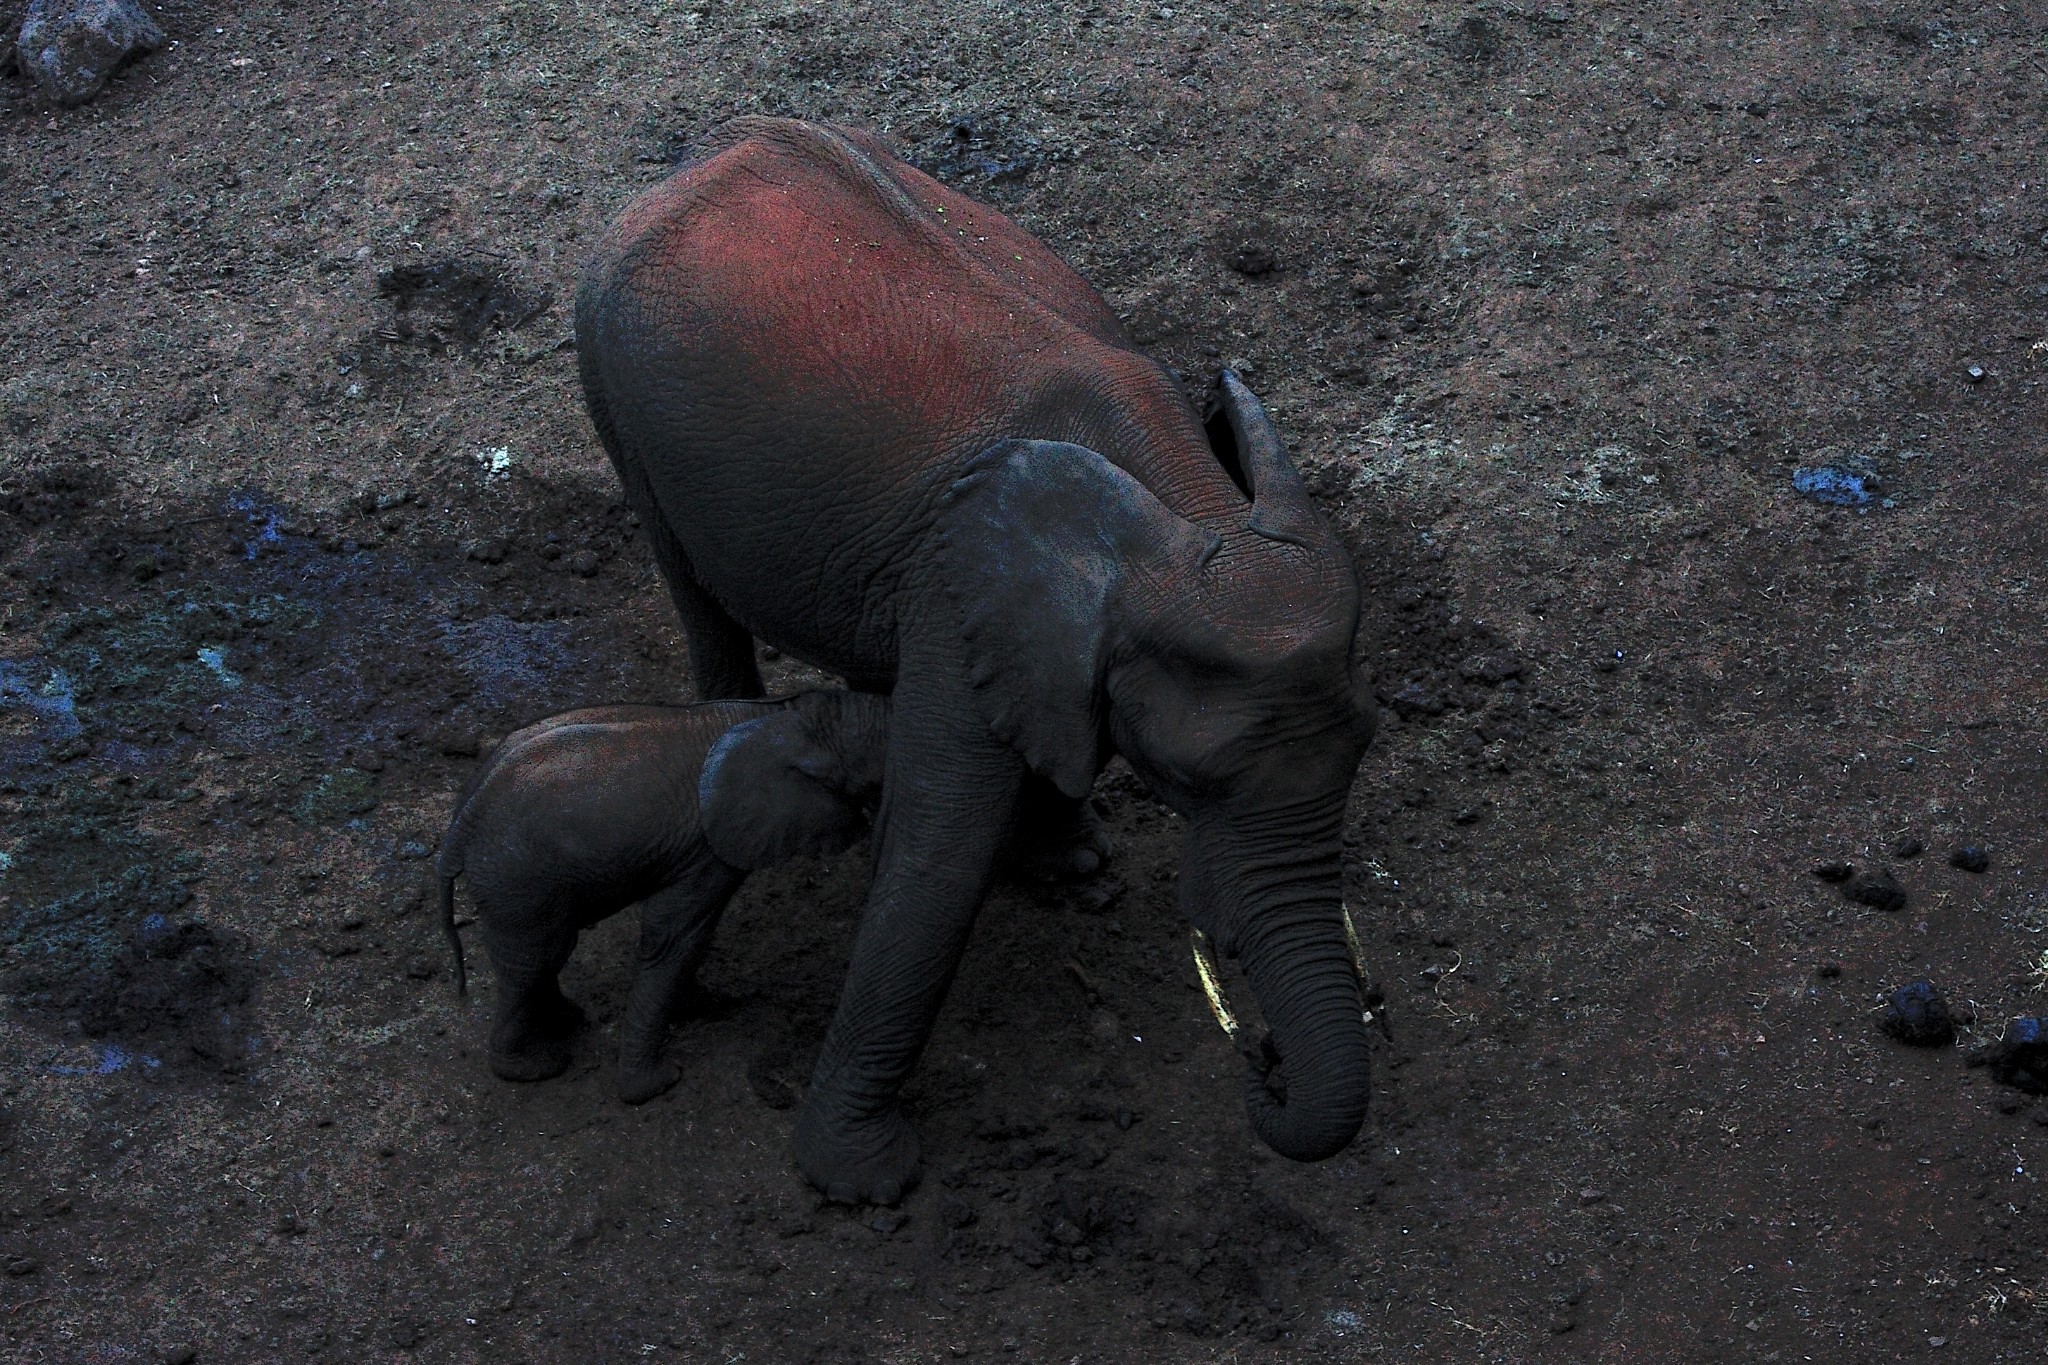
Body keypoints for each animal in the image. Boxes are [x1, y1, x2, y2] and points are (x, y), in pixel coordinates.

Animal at [436, 687, 884, 1105]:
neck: (784, 714)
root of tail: (459, 825)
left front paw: (703, 1005)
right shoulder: (706, 850)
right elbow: (674, 939)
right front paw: (660, 1083)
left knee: (544, 954)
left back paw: (566, 1020)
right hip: (517, 879)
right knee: (535, 959)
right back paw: (537, 1066)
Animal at [577, 120, 1376, 1203]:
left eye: (1364, 747)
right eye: (1193, 780)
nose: (1263, 1062)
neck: (1186, 503)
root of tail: (715, 148)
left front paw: (1078, 872)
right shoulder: (958, 593)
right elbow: (936, 856)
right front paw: (862, 1179)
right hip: (613, 396)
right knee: (703, 608)